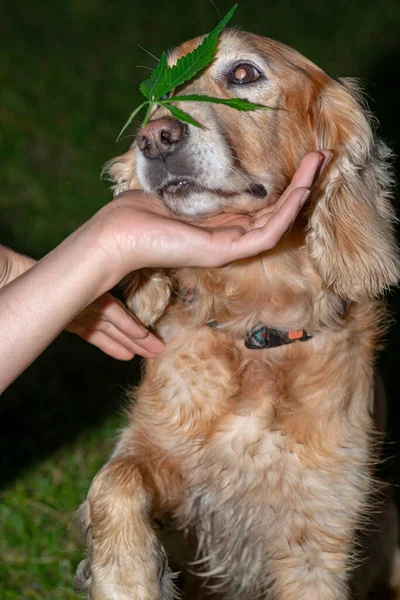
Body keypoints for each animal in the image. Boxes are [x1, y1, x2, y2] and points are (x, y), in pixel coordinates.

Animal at [76, 28, 400, 600]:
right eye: (160, 93)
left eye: (244, 73)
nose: (154, 138)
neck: (256, 331)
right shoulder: (160, 458)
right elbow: (113, 483)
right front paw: (128, 577)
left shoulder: (317, 540)